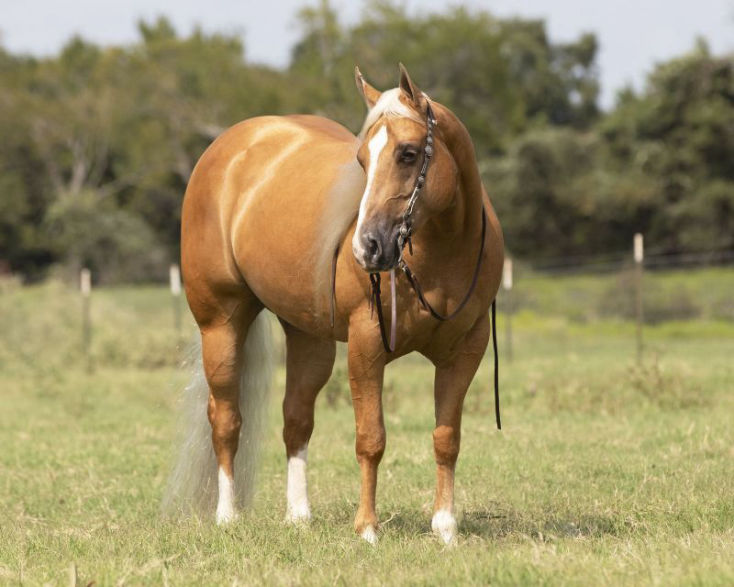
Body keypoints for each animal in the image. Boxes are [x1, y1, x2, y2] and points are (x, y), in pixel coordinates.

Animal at [168, 64, 504, 545]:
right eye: (362, 160)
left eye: (408, 154)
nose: (368, 248)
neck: (441, 253)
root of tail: (229, 145)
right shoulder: (366, 345)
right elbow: (371, 438)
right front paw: (367, 529)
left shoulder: (467, 350)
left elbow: (447, 437)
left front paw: (445, 528)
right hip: (221, 323)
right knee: (226, 418)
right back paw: (227, 515)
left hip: (308, 337)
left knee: (296, 419)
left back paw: (298, 515)